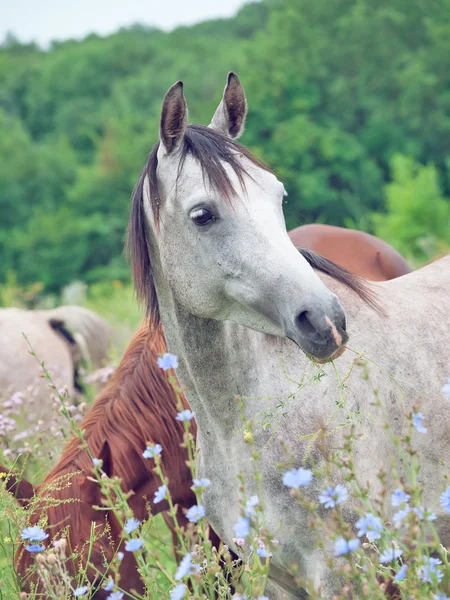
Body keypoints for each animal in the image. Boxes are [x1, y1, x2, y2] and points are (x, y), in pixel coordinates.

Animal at [126, 72, 450, 596]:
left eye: (277, 197)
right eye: (202, 215)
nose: (325, 321)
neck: (238, 426)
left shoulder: (346, 573)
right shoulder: (279, 578)